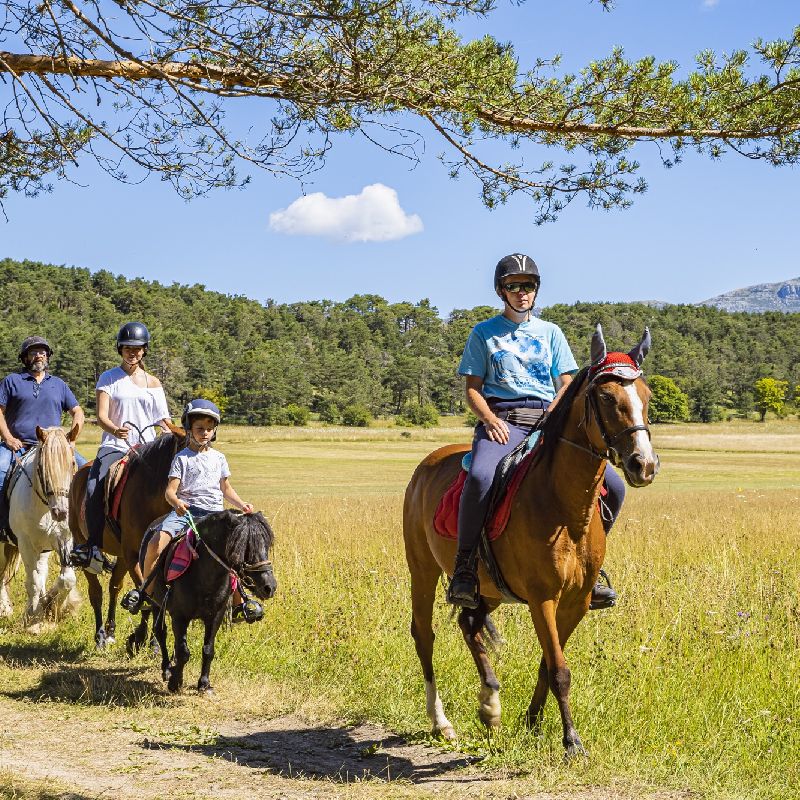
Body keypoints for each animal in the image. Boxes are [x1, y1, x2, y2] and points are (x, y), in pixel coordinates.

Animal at [0, 428, 81, 620]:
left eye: (72, 463)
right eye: (43, 468)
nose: (61, 512)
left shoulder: (64, 540)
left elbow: (67, 579)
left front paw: (53, 606)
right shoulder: (26, 544)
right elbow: (33, 583)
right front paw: (33, 616)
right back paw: (5, 608)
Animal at [67, 422, 186, 652]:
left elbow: (151, 596)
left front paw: (151, 641)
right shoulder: (132, 556)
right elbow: (148, 597)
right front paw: (142, 638)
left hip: (120, 556)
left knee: (114, 587)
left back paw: (111, 631)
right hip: (84, 547)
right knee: (96, 592)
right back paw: (100, 636)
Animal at [150, 512, 278, 692]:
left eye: (266, 545)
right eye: (242, 547)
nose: (269, 587)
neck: (203, 575)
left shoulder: (215, 616)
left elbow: (208, 650)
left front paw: (204, 683)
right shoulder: (179, 616)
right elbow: (183, 652)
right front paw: (175, 682)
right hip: (157, 604)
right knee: (160, 632)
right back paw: (167, 669)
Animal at [404, 324, 660, 756]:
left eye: (646, 396)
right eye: (607, 397)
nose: (644, 465)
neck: (563, 507)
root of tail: (428, 464)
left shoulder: (576, 602)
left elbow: (548, 662)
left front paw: (533, 722)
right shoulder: (543, 599)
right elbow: (559, 670)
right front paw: (572, 741)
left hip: (486, 587)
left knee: (470, 623)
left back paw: (490, 704)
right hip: (421, 571)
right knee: (425, 636)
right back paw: (442, 722)